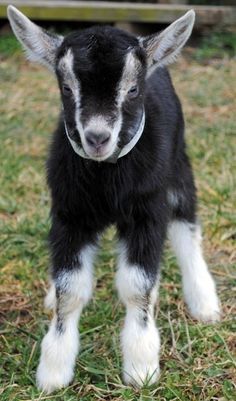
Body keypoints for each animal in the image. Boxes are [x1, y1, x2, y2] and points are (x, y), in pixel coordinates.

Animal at [7, 5, 221, 394]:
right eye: (66, 88)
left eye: (133, 89)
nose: (97, 138)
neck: (106, 173)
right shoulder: (69, 215)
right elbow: (70, 289)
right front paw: (54, 370)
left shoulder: (147, 214)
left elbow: (136, 286)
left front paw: (141, 366)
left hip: (179, 167)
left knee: (186, 228)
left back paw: (203, 300)